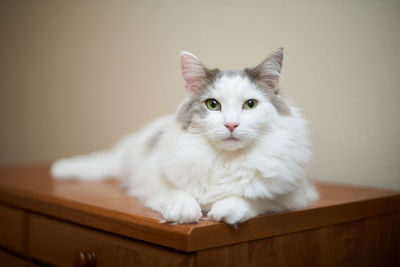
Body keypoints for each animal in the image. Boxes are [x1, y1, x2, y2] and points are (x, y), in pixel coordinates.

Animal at [50, 49, 318, 225]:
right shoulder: (154, 180)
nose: (231, 124)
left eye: (250, 104)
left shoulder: (294, 195)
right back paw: (61, 169)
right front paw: (183, 211)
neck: (225, 160)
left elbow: (253, 199)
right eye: (212, 105)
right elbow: (178, 192)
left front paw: (225, 209)